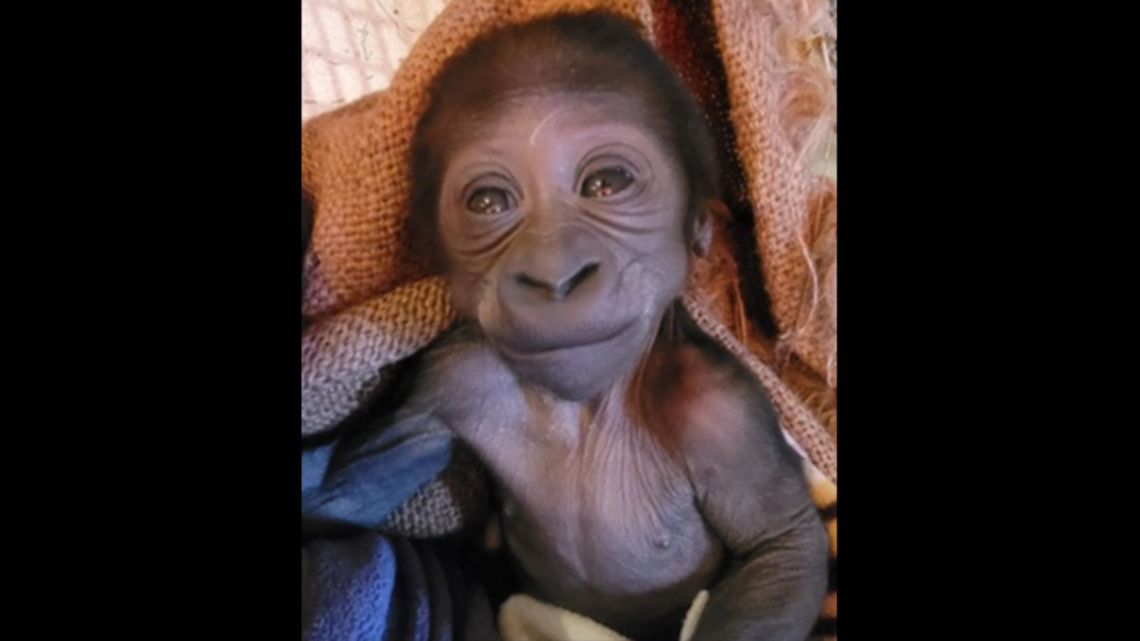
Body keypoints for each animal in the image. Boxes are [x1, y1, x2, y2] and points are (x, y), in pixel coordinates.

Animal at [303, 10, 828, 641]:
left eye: (607, 183)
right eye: (487, 202)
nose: (554, 275)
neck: (584, 410)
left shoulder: (721, 408)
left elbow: (782, 547)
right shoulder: (455, 373)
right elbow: (364, 470)